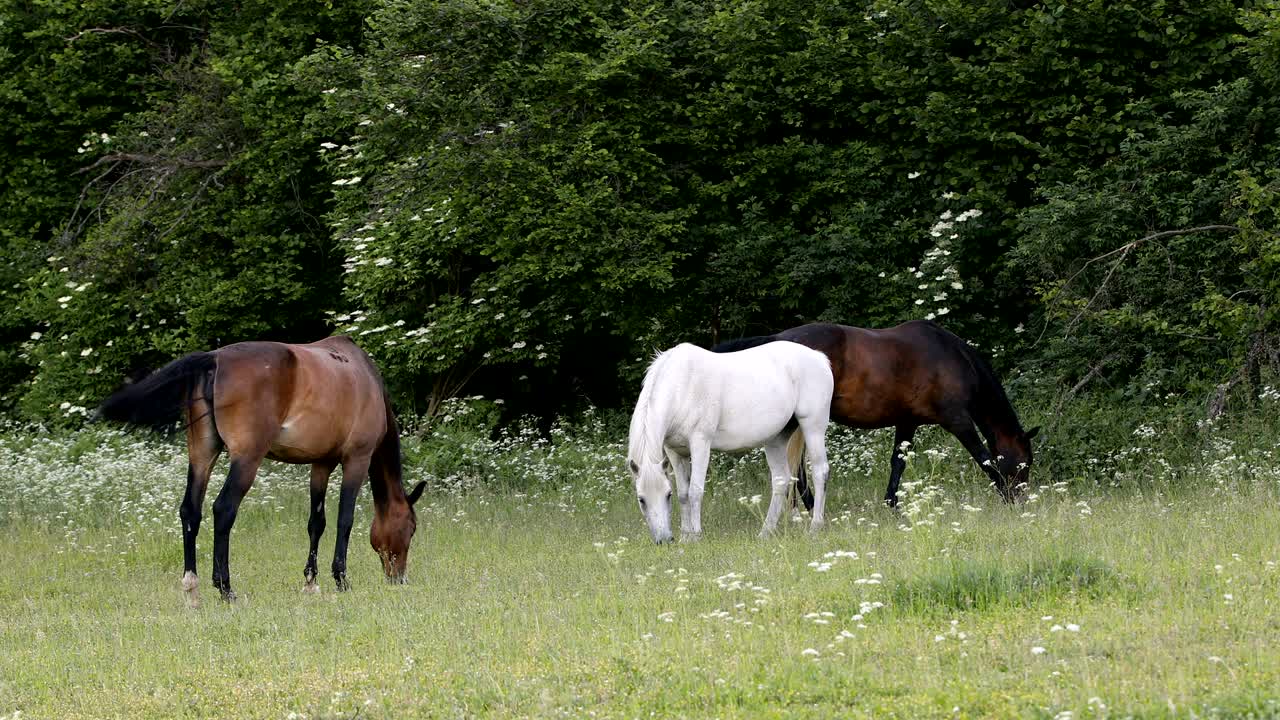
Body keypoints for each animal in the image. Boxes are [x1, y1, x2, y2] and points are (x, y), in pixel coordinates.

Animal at [97, 335, 426, 603]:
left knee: (190, 511)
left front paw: (311, 582)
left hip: (202, 454)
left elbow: (316, 523)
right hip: (247, 459)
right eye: (410, 529)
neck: (365, 379)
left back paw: (192, 588)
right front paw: (341, 580)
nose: (399, 578)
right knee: (224, 509)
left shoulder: (321, 463)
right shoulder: (356, 459)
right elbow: (344, 520)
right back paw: (225, 588)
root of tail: (214, 359)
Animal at [627, 342, 834, 543]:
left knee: (820, 471)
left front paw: (696, 536)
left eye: (667, 495)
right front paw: (685, 538)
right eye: (641, 499)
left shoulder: (700, 444)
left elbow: (695, 491)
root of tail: (819, 358)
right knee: (781, 480)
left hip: (813, 428)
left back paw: (815, 527)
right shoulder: (675, 452)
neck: (682, 387)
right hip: (776, 439)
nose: (664, 540)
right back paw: (765, 532)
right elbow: (684, 494)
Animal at [713, 321, 1039, 508]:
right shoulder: (958, 421)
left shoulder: (907, 423)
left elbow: (898, 463)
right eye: (1024, 462)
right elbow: (984, 459)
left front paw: (891, 505)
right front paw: (1004, 495)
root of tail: (778, 339)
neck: (952, 358)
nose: (1021, 497)